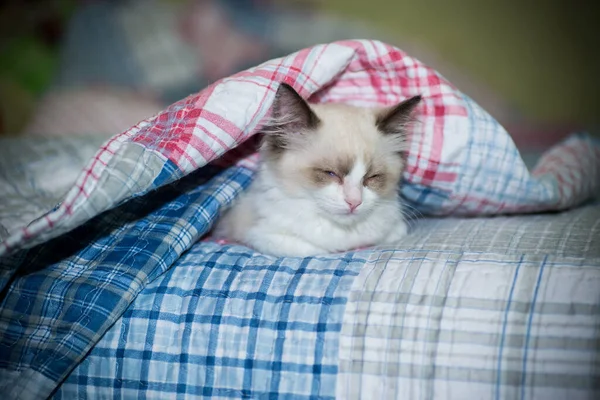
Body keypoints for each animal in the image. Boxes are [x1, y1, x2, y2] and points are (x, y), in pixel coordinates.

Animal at [213, 83, 420, 258]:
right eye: (330, 174)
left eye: (372, 177)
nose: (354, 202)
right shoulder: (262, 236)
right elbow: (314, 250)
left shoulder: (396, 229)